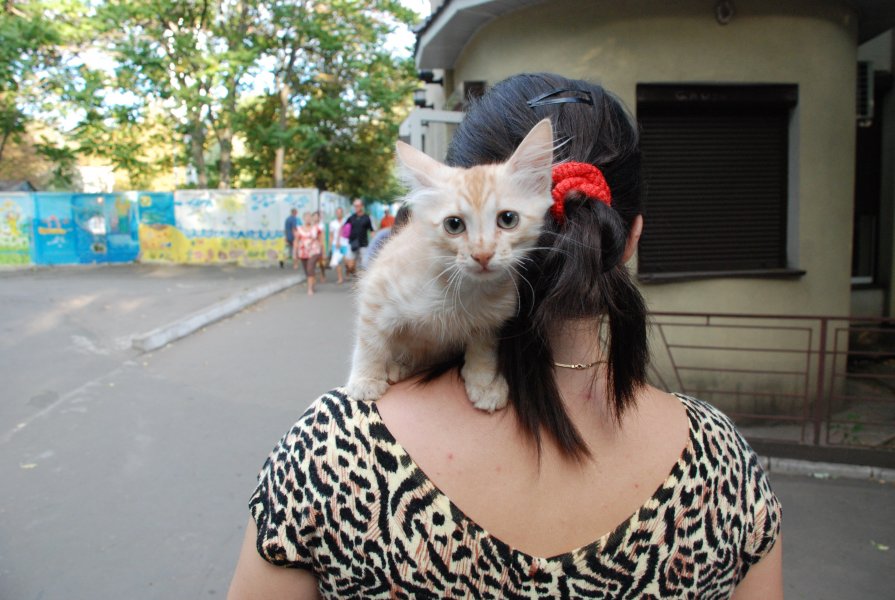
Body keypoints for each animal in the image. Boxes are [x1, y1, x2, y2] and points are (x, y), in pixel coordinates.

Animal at [346, 118, 556, 412]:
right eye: (453, 224)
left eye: (508, 219)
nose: (482, 254)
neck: (463, 290)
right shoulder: (377, 290)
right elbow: (370, 339)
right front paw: (366, 379)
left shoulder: (491, 319)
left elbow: (483, 349)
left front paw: (484, 382)